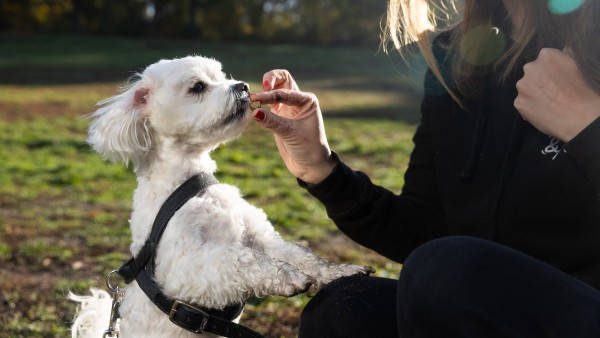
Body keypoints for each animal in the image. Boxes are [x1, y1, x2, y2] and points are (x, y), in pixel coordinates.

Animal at [71, 56, 376, 338]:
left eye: (221, 76)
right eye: (197, 86)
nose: (243, 86)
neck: (194, 183)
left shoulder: (261, 237)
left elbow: (299, 256)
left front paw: (338, 272)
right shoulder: (182, 269)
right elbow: (238, 259)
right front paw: (288, 277)